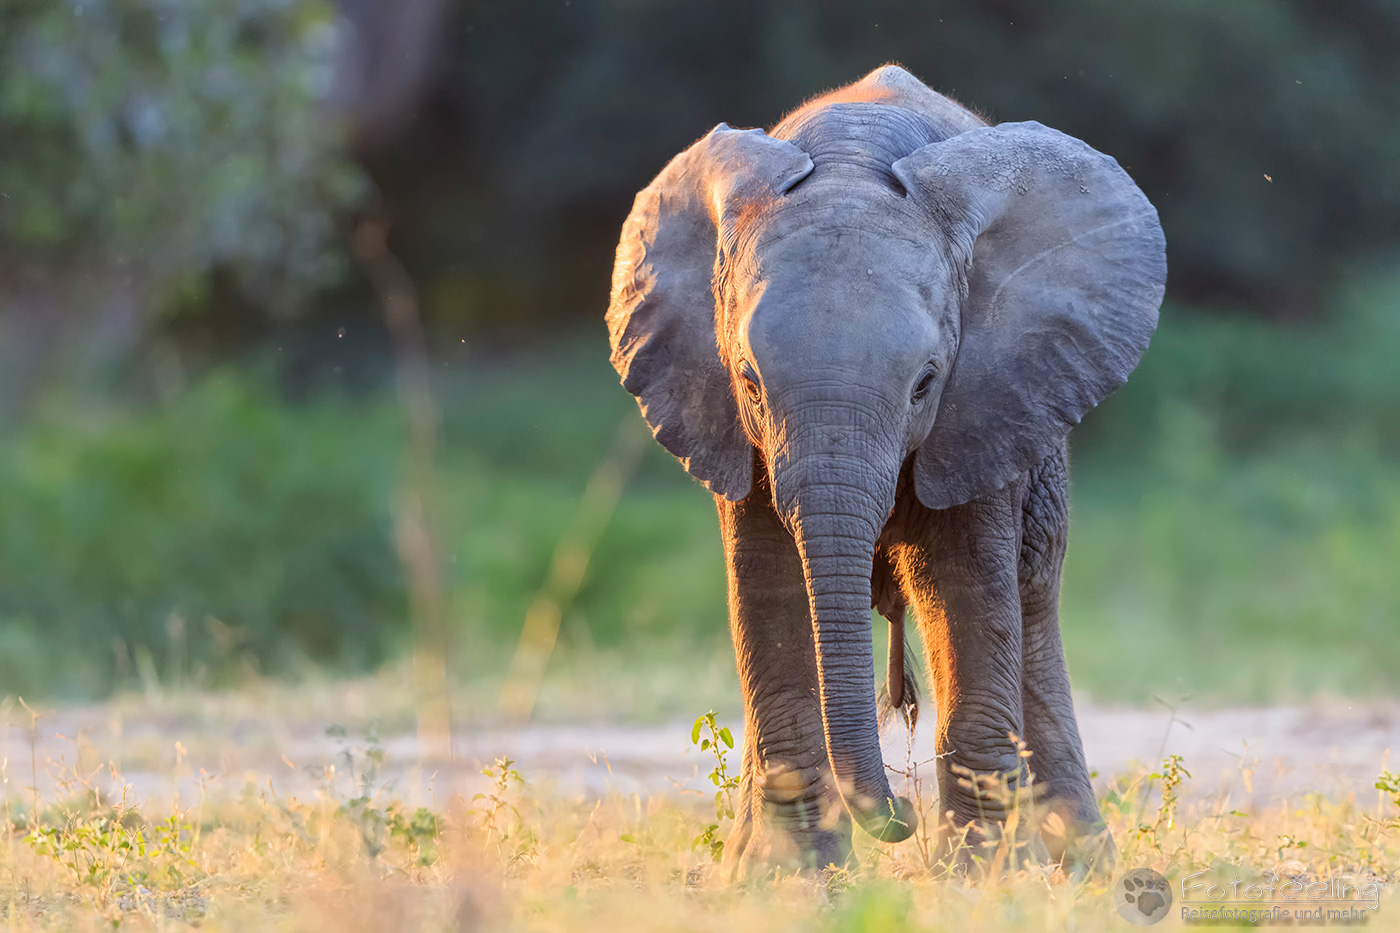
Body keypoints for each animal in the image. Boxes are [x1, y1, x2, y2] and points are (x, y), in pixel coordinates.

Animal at [605, 64, 1166, 875]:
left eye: (925, 383)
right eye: (747, 381)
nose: (898, 816)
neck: (851, 159)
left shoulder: (985, 402)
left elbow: (965, 582)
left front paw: (981, 879)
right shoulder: (731, 427)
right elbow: (767, 581)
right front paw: (786, 874)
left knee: (1031, 600)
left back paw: (1085, 868)